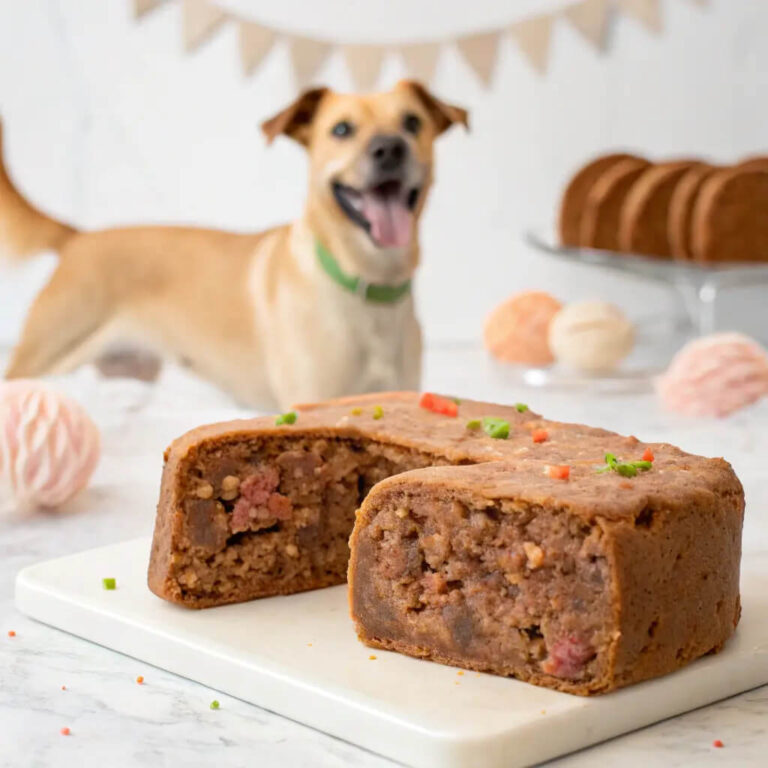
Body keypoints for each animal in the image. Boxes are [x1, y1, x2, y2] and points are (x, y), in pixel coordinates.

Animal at [0, 81, 468, 412]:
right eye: (341, 129)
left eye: (412, 122)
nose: (389, 148)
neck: (367, 283)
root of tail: (78, 238)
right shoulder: (311, 394)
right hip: (42, 357)